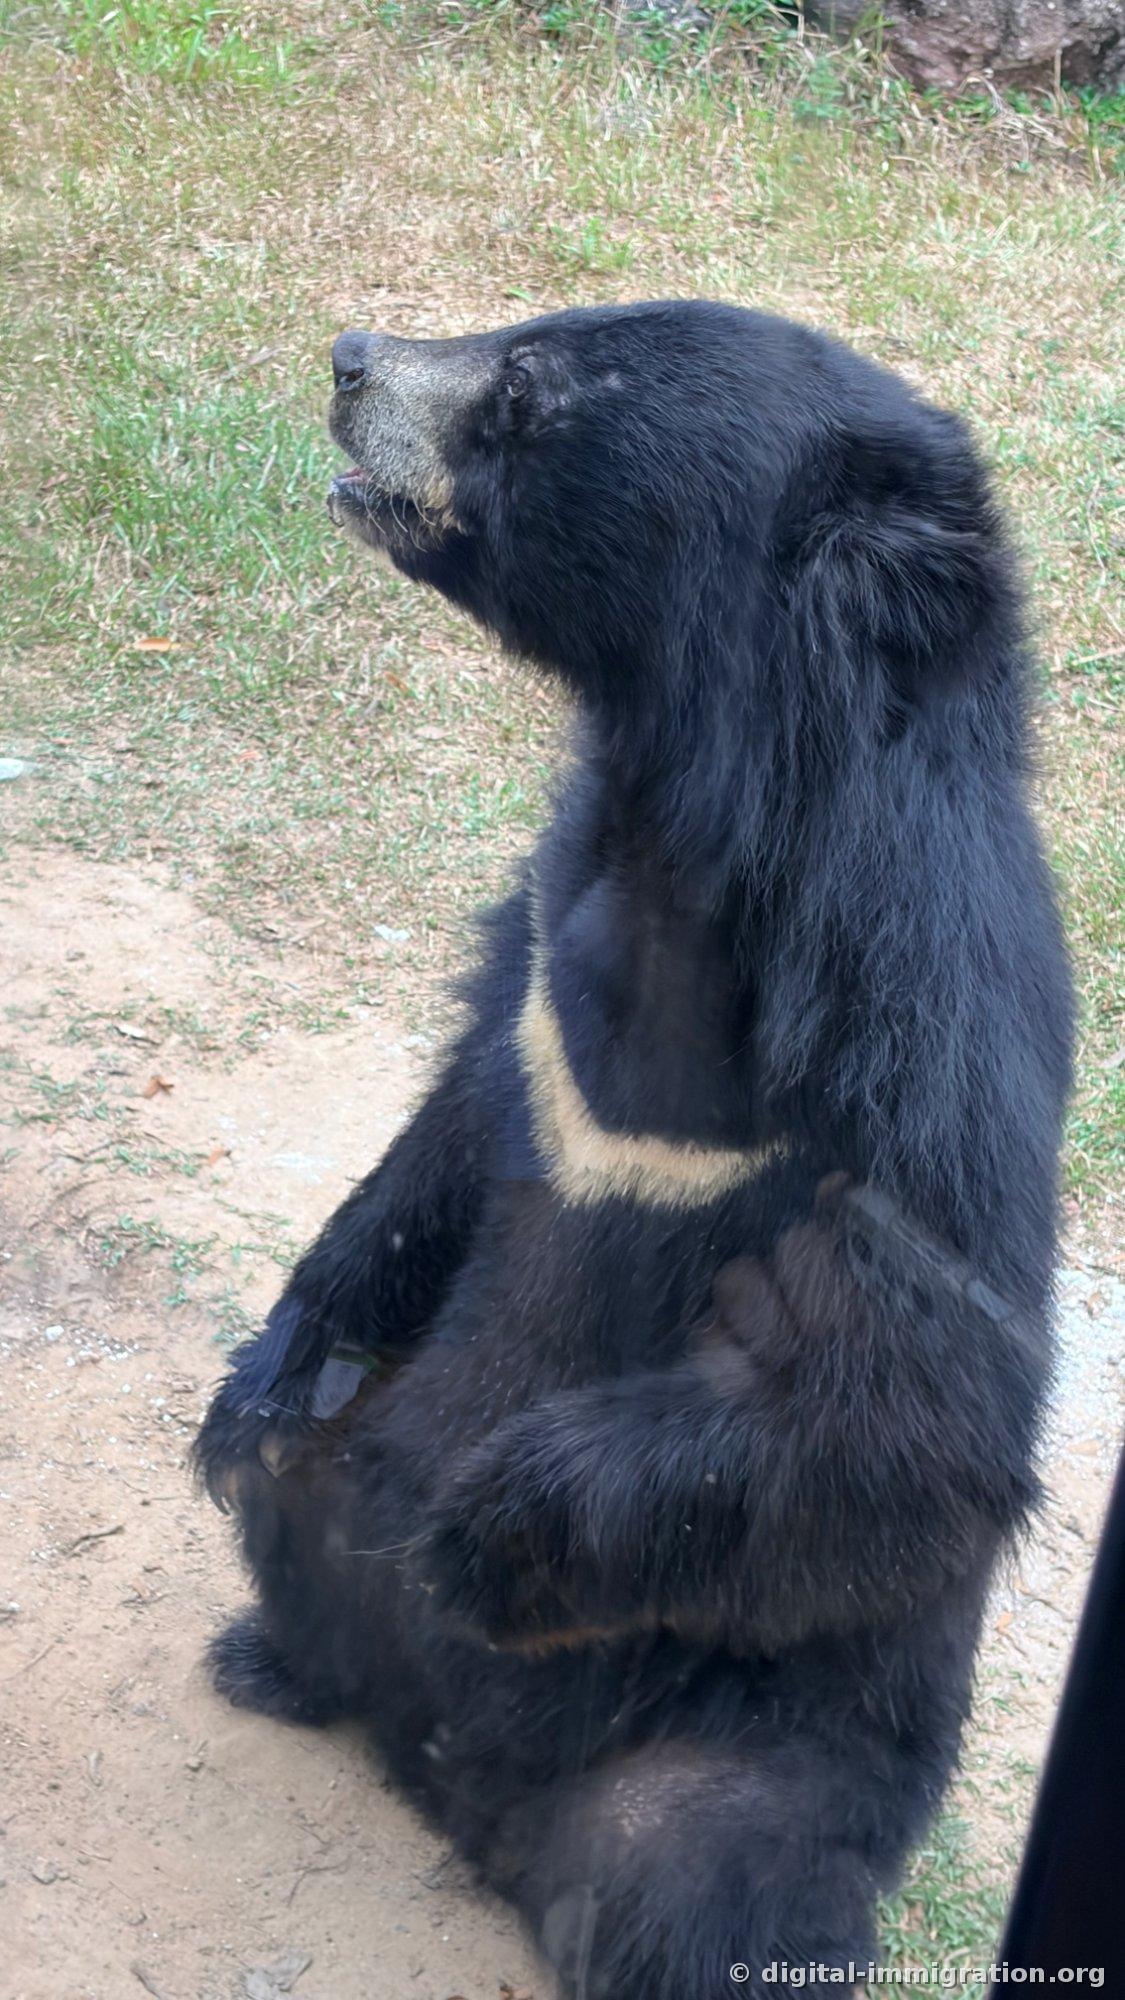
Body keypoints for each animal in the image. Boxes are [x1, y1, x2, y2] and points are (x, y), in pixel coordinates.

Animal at [195, 301, 1073, 1998]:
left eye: (527, 393)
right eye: (523, 335)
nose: (347, 356)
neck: (705, 817)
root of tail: (453, 1784)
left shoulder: (929, 1023)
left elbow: (917, 1388)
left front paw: (480, 1533)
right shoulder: (544, 942)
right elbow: (448, 1132)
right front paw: (260, 1379)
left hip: (749, 1747)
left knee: (701, 1877)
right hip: (339, 1507)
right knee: (297, 1500)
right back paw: (270, 1645)